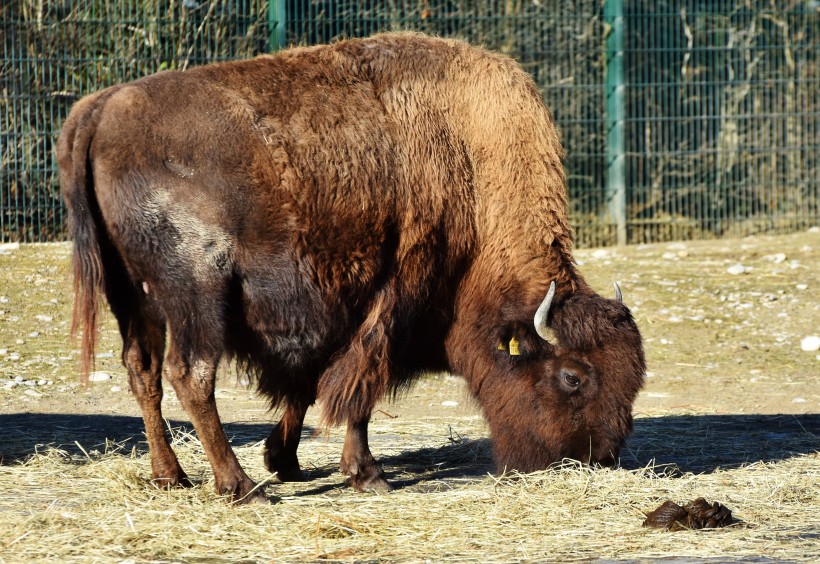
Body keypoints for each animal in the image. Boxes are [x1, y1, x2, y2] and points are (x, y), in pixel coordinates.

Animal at [57, 33, 648, 504]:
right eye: (573, 378)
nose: (597, 458)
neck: (470, 164)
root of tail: (101, 108)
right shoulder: (390, 301)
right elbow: (360, 386)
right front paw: (367, 474)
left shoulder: (333, 312)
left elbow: (312, 383)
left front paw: (286, 460)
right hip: (196, 294)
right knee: (191, 374)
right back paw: (241, 487)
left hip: (135, 299)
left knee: (144, 372)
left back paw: (172, 476)